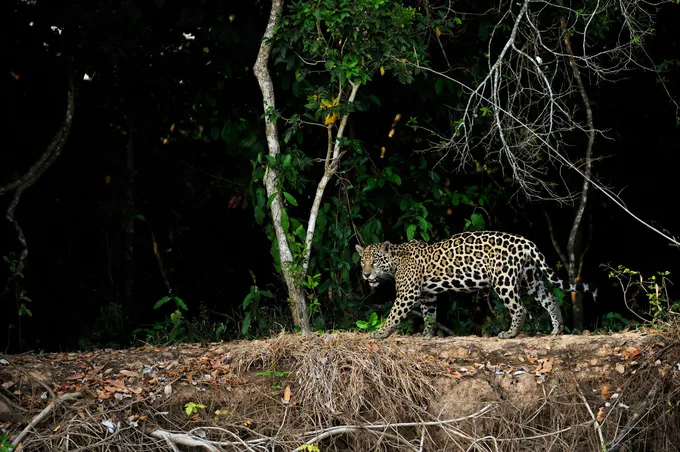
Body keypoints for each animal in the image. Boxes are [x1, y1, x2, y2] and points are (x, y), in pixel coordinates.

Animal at [355, 230, 598, 340]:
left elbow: (394, 314)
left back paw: (509, 334)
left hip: (504, 280)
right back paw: (557, 329)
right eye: (362, 261)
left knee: (520, 308)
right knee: (550, 298)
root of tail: (526, 242)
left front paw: (380, 333)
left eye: (374, 261)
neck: (396, 260)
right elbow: (429, 315)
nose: (366, 275)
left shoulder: (408, 294)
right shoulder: (427, 295)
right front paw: (426, 335)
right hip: (530, 279)